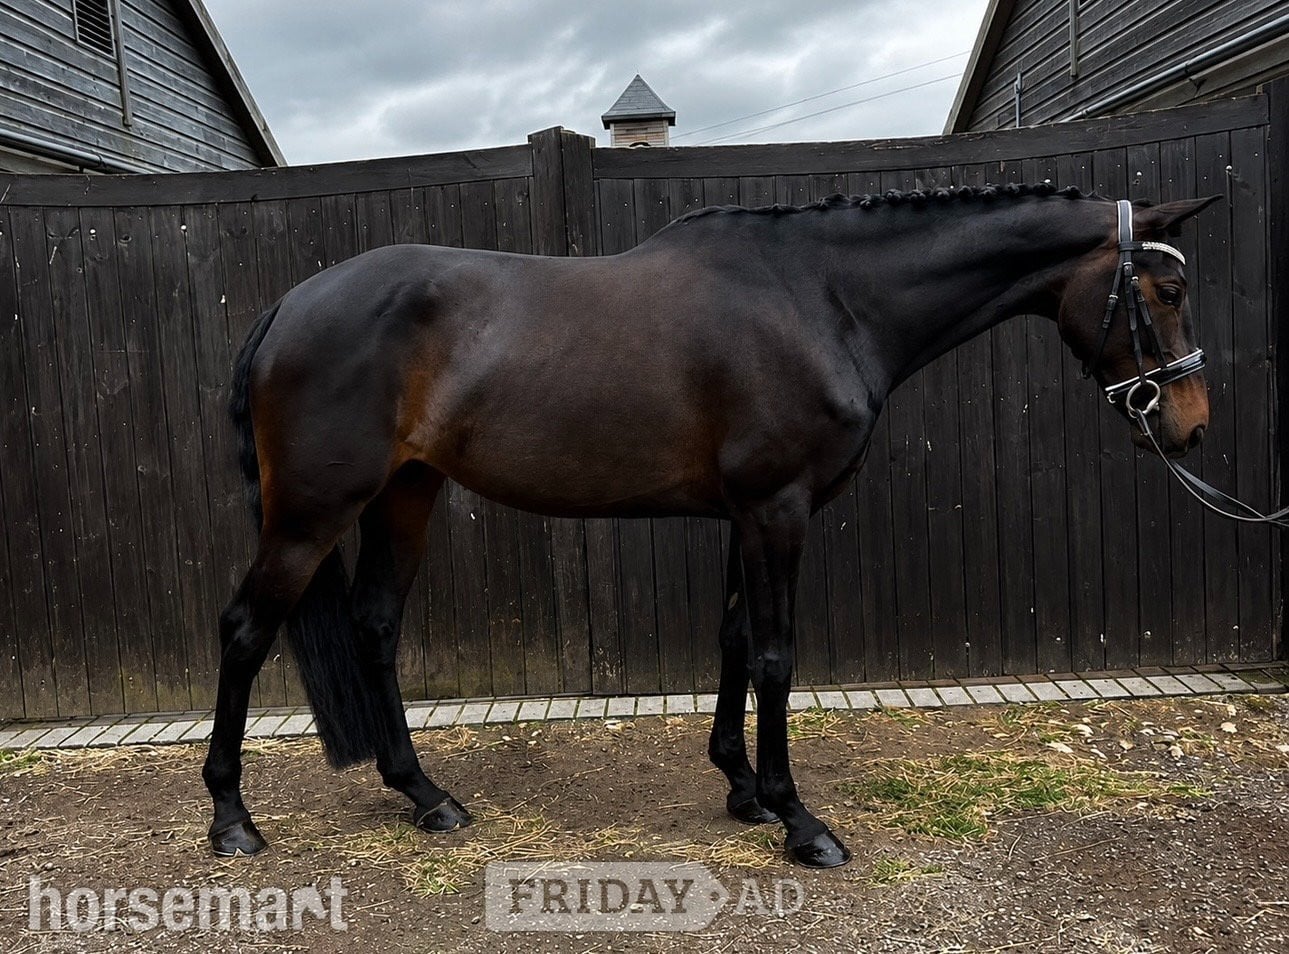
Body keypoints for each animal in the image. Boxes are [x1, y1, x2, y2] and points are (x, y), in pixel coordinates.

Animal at [202, 182, 1217, 868]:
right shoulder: (777, 508)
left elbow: (732, 639)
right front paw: (799, 821)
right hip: (312, 512)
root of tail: (290, 304)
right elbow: (774, 656)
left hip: (406, 494)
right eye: (1164, 296)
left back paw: (424, 795)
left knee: (375, 626)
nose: (1189, 426)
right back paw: (232, 821)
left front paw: (742, 790)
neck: (820, 297)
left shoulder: (745, 514)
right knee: (246, 630)